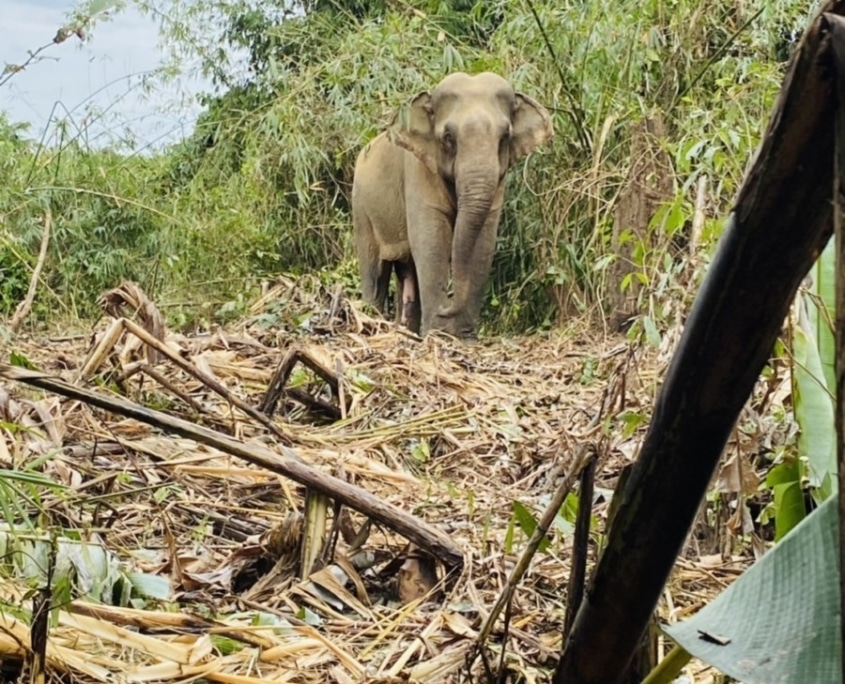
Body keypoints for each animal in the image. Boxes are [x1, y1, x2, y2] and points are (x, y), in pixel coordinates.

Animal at [351, 71, 553, 338]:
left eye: (505, 137)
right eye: (448, 138)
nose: (447, 307)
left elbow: (483, 242)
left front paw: (463, 337)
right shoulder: (419, 168)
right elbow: (431, 240)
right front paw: (439, 333)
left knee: (406, 270)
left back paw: (407, 330)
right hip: (361, 207)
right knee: (375, 271)